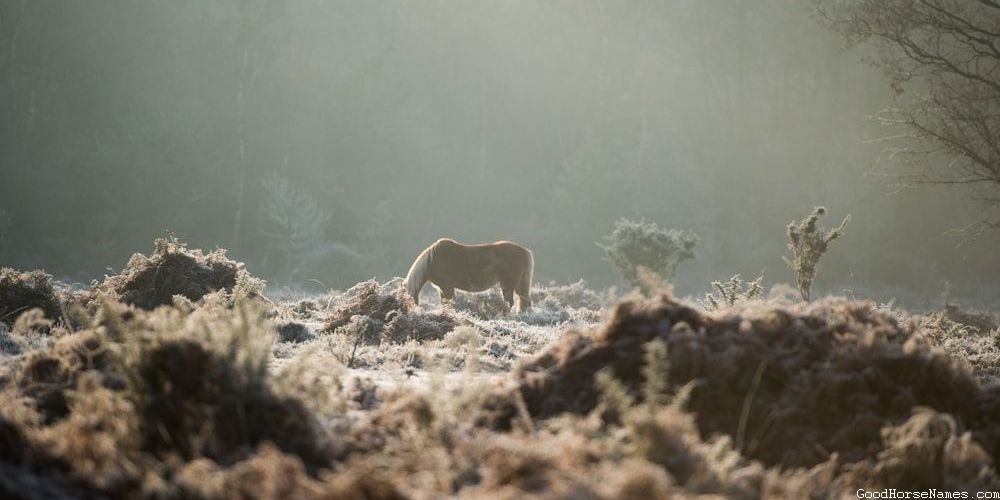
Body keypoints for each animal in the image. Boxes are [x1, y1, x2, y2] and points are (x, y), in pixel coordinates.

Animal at [404, 238, 533, 312]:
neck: (433, 260)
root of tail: (525, 251)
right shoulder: (442, 289)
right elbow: (444, 303)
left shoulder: (447, 288)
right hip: (520, 284)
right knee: (524, 301)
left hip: (508, 285)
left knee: (510, 302)